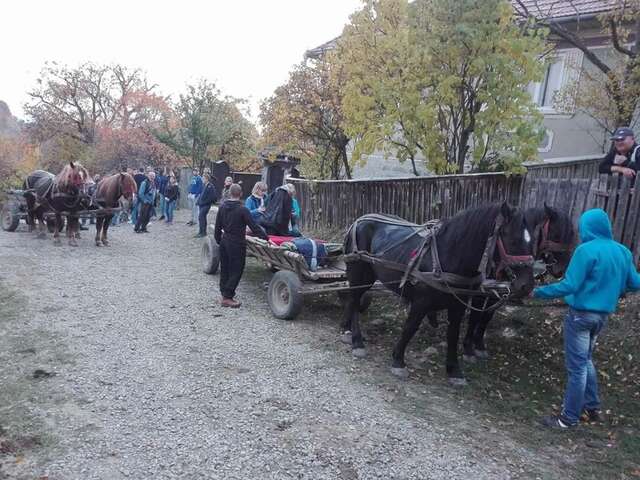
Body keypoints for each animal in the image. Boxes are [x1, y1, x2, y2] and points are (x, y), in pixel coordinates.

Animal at [342, 203, 532, 386]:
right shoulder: (421, 302)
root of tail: (359, 220)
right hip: (359, 272)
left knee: (352, 301)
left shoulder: (458, 305)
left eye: (531, 241)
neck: (447, 255)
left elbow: (453, 334)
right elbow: (410, 328)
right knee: (354, 301)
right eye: (513, 240)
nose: (527, 285)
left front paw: (454, 371)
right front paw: (398, 361)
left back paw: (346, 329)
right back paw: (356, 341)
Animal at [460, 204, 576, 362]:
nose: (562, 270)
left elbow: (487, 316)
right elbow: (475, 316)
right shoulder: (480, 293)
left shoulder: (497, 293)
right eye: (557, 235)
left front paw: (479, 345)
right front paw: (468, 349)